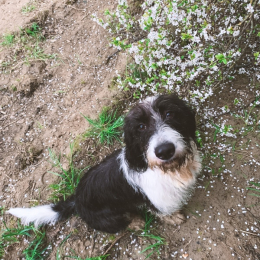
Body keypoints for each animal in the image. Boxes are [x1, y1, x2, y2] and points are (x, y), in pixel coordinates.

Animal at [6, 94, 201, 233]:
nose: (164, 151)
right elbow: (162, 212)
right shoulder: (156, 200)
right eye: (140, 127)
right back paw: (135, 222)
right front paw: (173, 218)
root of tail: (76, 201)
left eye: (169, 114)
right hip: (111, 218)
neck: (170, 170)